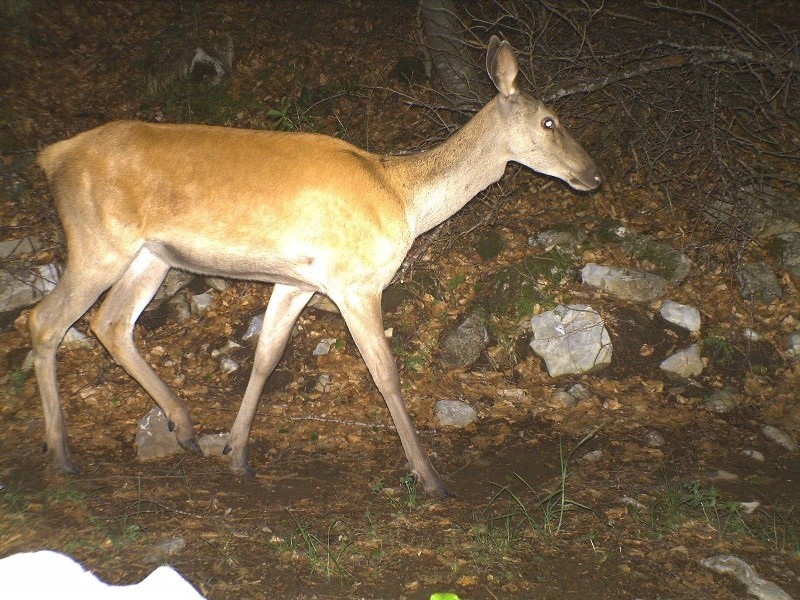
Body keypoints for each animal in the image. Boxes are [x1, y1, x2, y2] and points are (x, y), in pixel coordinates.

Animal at [31, 36, 600, 496]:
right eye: (549, 121)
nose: (594, 174)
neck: (402, 197)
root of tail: (53, 156)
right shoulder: (355, 280)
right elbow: (385, 372)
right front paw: (429, 476)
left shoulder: (298, 281)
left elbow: (266, 355)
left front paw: (236, 455)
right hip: (98, 241)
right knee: (45, 320)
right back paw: (61, 453)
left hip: (150, 254)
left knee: (111, 323)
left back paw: (184, 428)